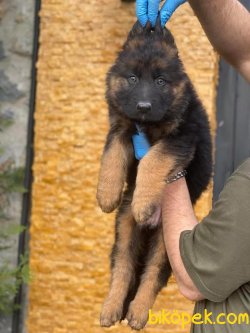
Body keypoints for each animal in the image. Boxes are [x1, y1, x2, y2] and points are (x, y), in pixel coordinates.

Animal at [96, 20, 212, 330]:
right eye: (133, 78)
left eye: (160, 81)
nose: (144, 107)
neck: (147, 125)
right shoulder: (121, 128)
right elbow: (111, 156)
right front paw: (107, 194)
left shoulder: (181, 137)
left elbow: (152, 159)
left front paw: (144, 202)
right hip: (125, 229)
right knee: (123, 268)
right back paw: (111, 308)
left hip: (167, 244)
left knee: (151, 274)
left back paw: (137, 313)